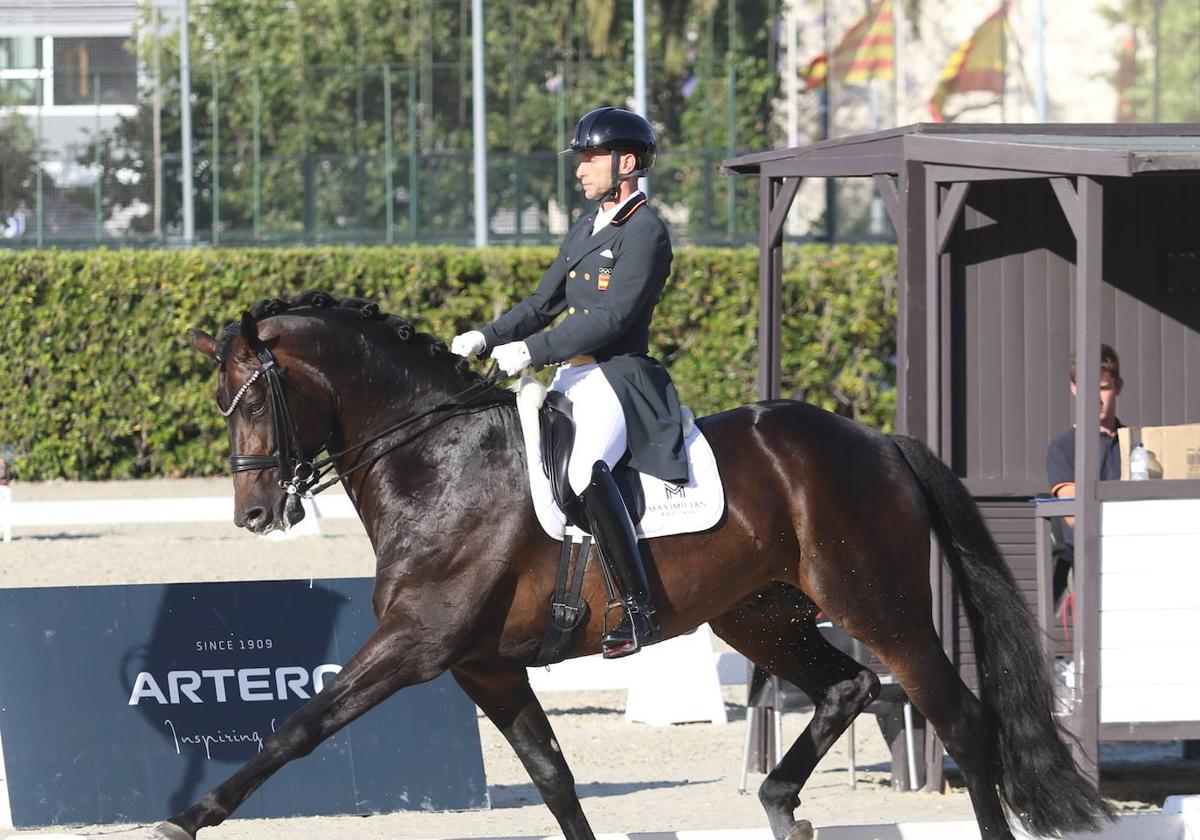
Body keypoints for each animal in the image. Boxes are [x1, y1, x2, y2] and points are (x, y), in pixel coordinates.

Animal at [162, 290, 1113, 840]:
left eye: (257, 398)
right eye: (221, 401)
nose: (256, 514)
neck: (436, 461)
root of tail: (876, 439)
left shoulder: (416, 644)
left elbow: (299, 725)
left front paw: (188, 819)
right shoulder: (483, 667)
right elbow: (554, 778)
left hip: (879, 604)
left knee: (956, 716)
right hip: (761, 614)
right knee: (850, 687)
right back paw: (779, 803)